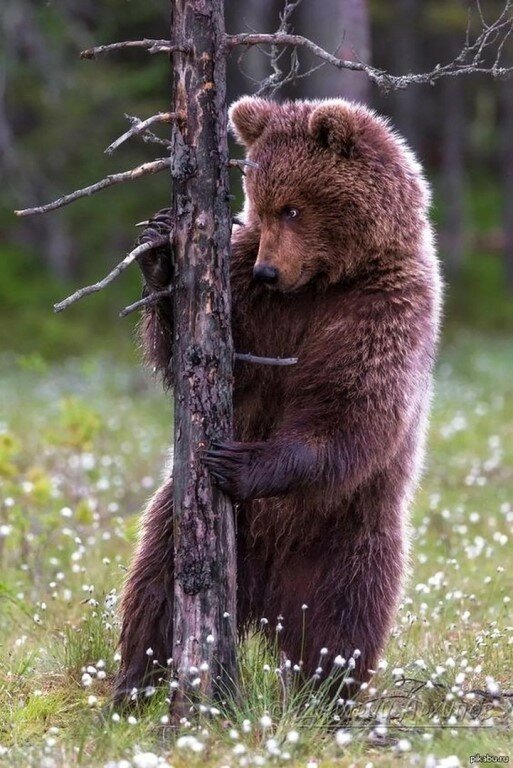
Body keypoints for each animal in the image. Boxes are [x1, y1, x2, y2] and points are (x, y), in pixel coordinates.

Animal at [114, 97, 442, 702]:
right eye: (259, 207)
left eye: (292, 208)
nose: (270, 269)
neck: (324, 281)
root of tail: (264, 603)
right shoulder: (252, 299)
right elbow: (197, 355)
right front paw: (161, 254)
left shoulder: (385, 307)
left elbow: (352, 407)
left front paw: (239, 462)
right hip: (184, 524)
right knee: (155, 592)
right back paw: (133, 688)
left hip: (345, 537)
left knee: (341, 626)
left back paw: (322, 699)